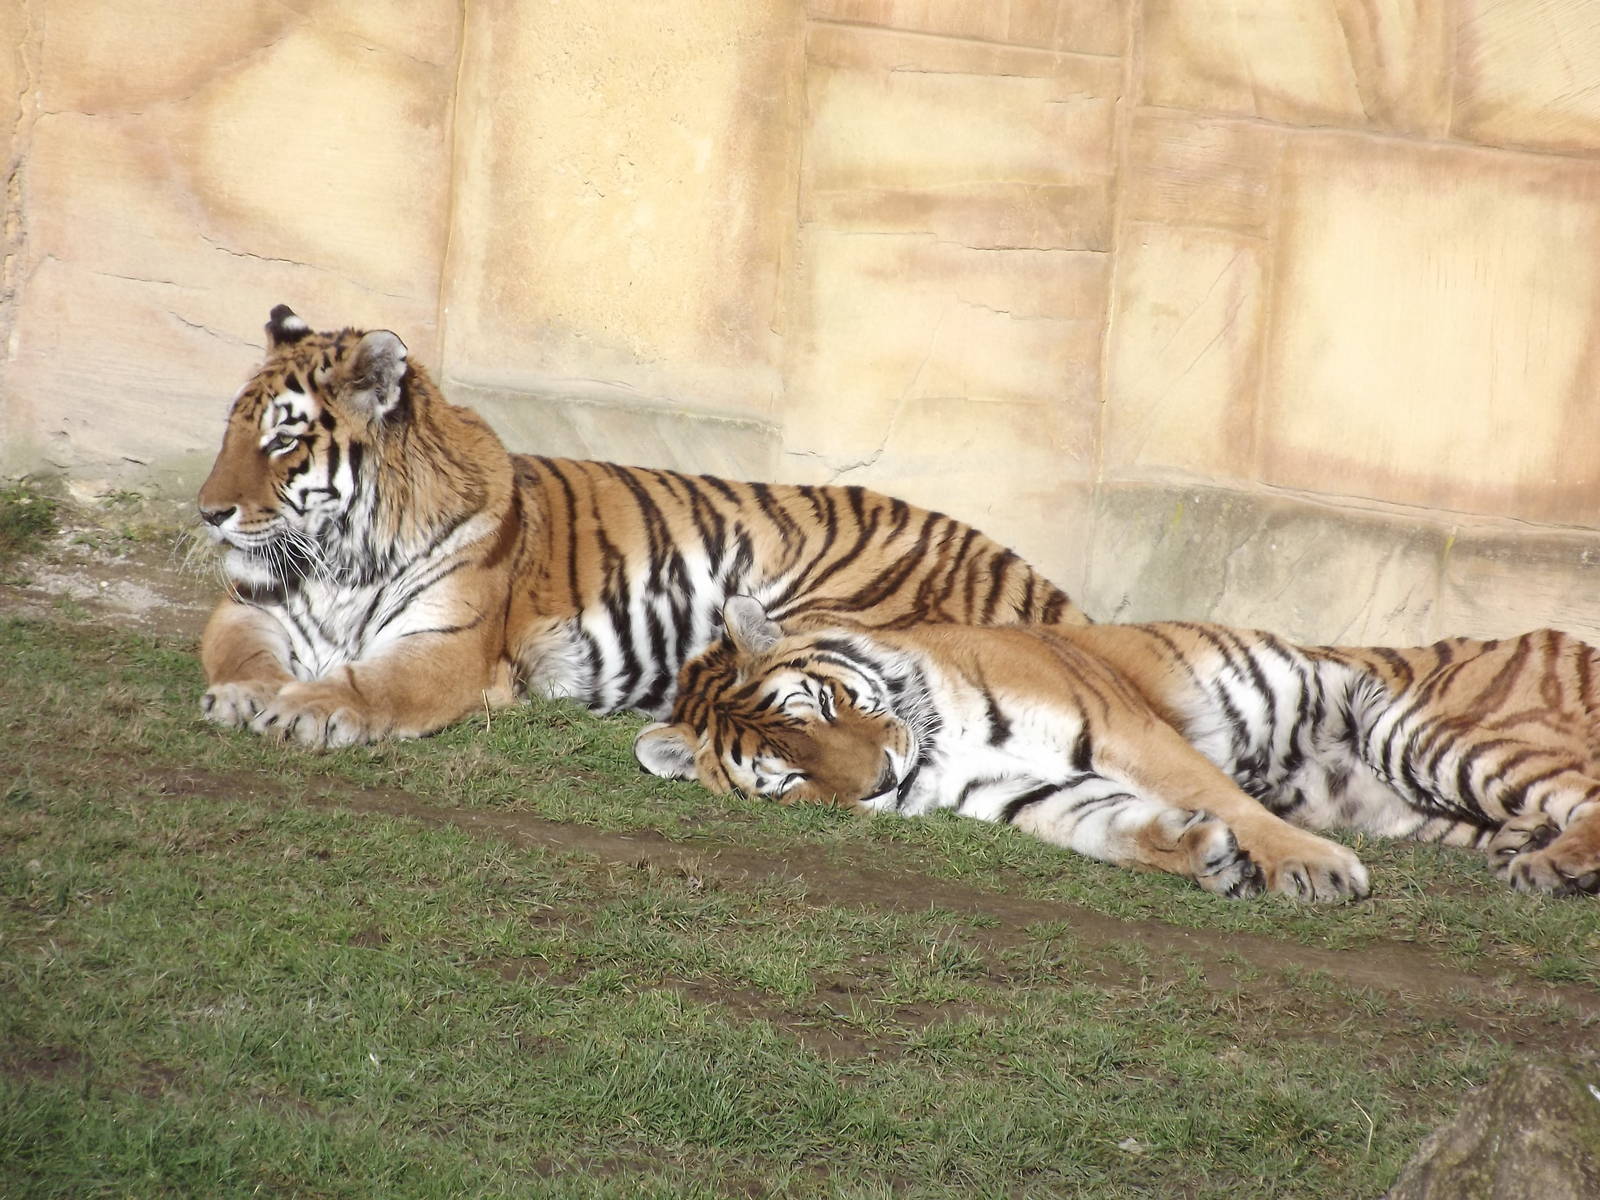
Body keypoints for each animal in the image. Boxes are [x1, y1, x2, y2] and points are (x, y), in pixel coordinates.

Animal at [195, 306, 1085, 748]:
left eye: (282, 439)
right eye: (231, 428)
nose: (208, 512)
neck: (337, 557)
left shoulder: (444, 649)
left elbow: (369, 685)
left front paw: (307, 710)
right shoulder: (245, 613)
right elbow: (241, 658)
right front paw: (246, 696)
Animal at [635, 598, 1600, 898]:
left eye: (829, 703)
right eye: (787, 777)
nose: (878, 781)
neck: (939, 747)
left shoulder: (1123, 728)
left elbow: (1230, 798)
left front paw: (1310, 867)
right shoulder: (1023, 791)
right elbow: (1109, 827)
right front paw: (1203, 855)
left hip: (1422, 730)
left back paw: (1557, 869)